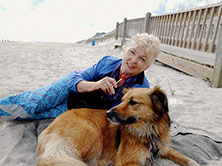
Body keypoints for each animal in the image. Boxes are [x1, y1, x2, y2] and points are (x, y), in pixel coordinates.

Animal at [36, 87, 199, 165]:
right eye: (122, 100)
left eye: (132, 102)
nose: (108, 113)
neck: (149, 131)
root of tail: (47, 130)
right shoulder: (127, 161)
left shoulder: (163, 148)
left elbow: (186, 158)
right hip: (93, 133)